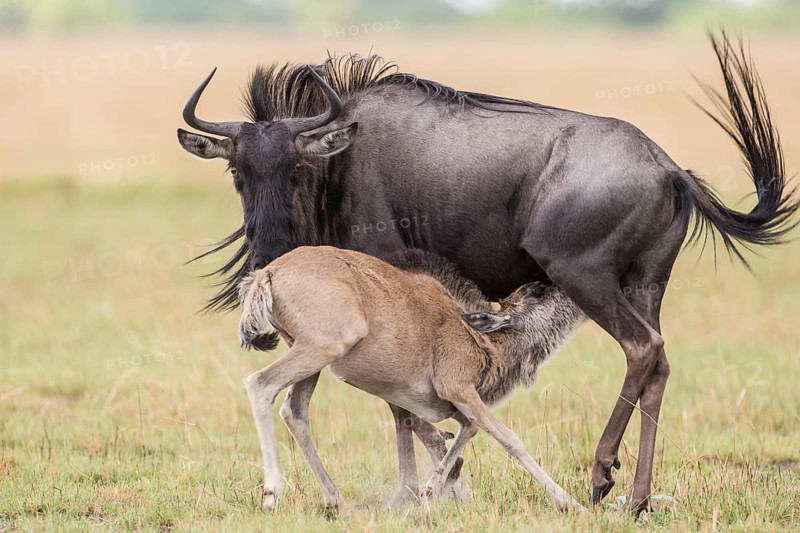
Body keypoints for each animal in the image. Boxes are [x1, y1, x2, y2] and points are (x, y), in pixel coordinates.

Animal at [238, 246, 587, 512]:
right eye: (539, 289)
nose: (567, 284)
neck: (480, 338)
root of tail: (268, 274)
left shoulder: (453, 405)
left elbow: (465, 430)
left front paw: (432, 490)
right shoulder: (458, 388)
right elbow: (508, 439)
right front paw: (572, 504)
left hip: (309, 358)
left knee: (294, 411)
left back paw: (336, 501)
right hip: (324, 348)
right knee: (260, 384)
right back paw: (272, 494)